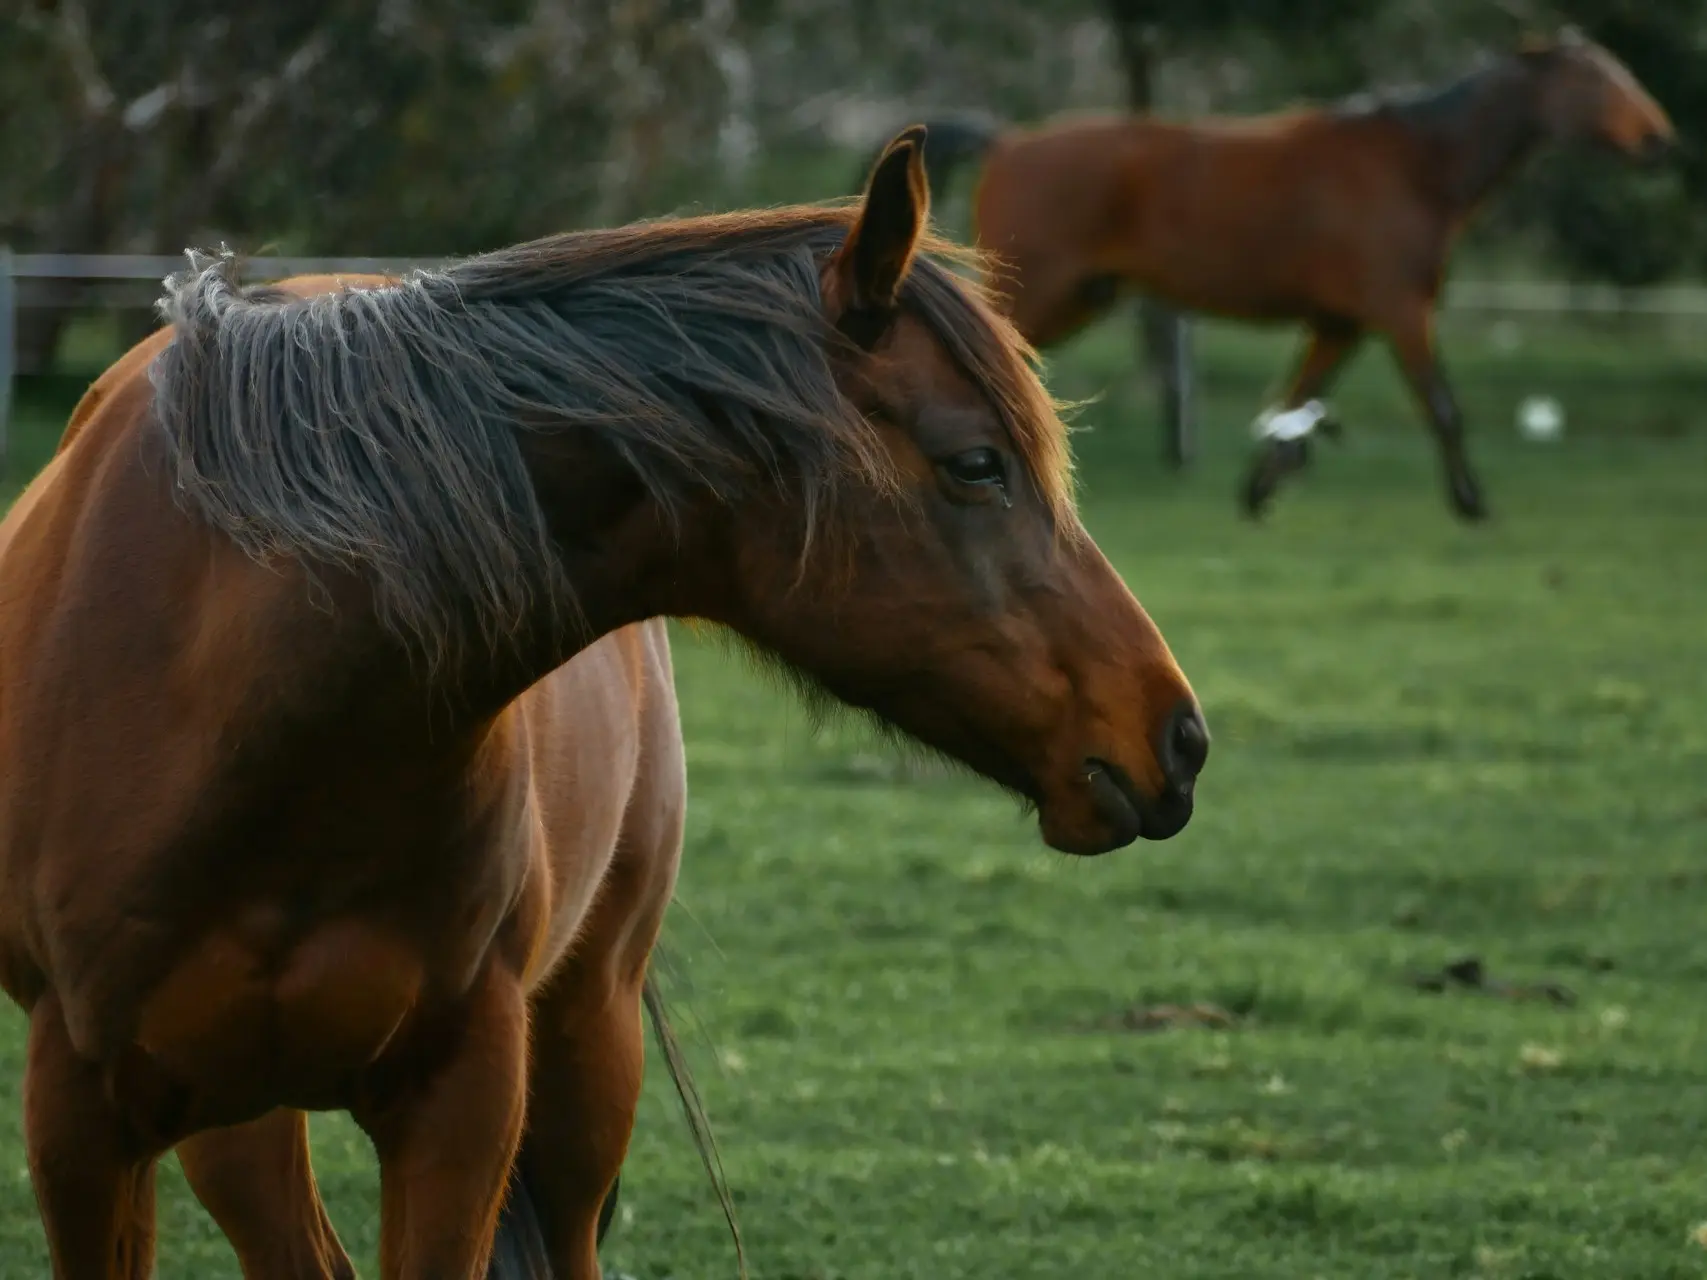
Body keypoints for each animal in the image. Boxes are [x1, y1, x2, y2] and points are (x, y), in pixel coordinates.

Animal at [0, 133, 1215, 1280]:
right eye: (976, 464)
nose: (1179, 736)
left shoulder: (462, 1100)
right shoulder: (81, 1121)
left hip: (586, 1039)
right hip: (240, 1114)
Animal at [887, 36, 1672, 525]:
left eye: (1620, 73)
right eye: (1594, 80)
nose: (1658, 140)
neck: (1416, 164)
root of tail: (1006, 141)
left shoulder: (1340, 324)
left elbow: (1295, 403)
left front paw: (1258, 494)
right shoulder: (1400, 311)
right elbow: (1440, 405)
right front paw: (1472, 503)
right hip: (1040, 296)